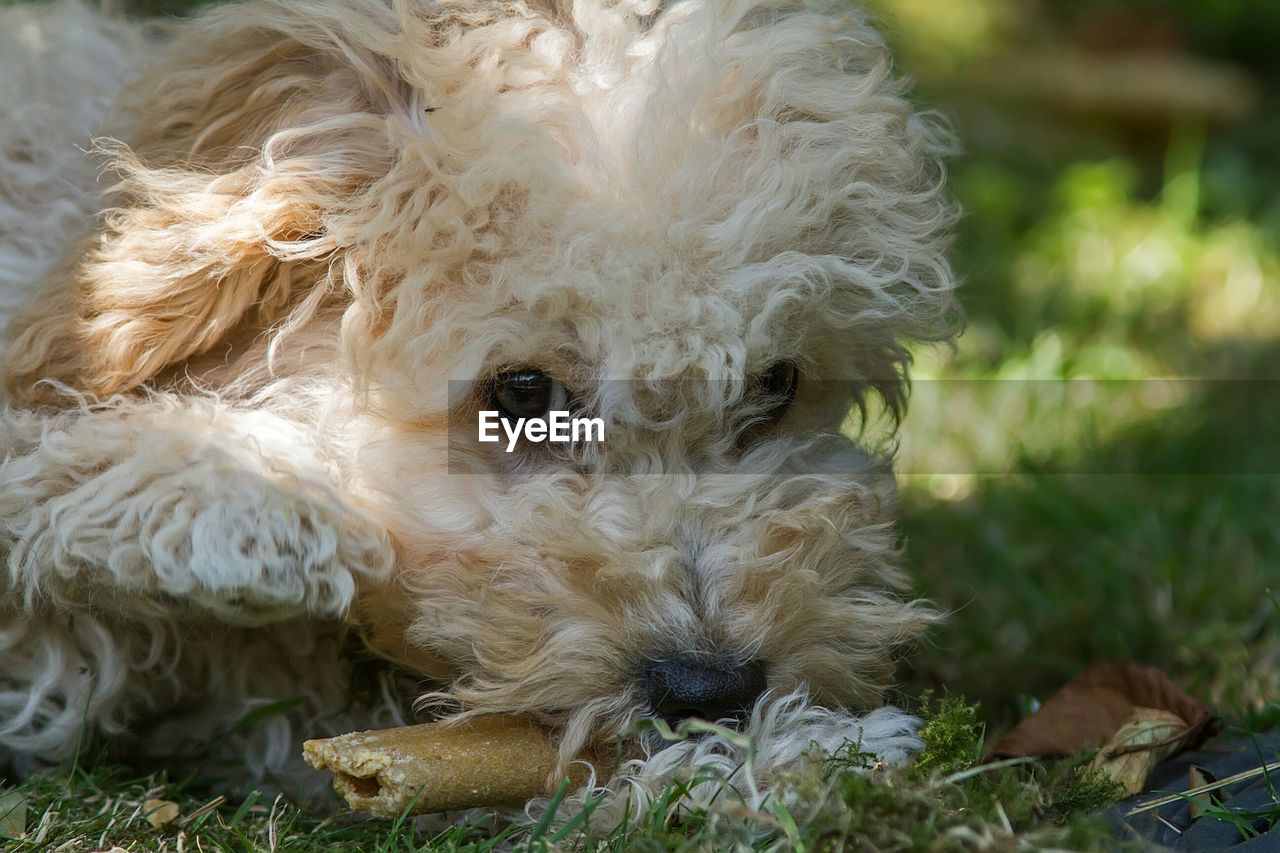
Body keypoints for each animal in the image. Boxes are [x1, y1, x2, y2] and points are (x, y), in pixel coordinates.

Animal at [0, 0, 962, 809]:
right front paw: (253, 501)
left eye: (778, 382)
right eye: (523, 390)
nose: (711, 688)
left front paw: (803, 756)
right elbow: (34, 480)